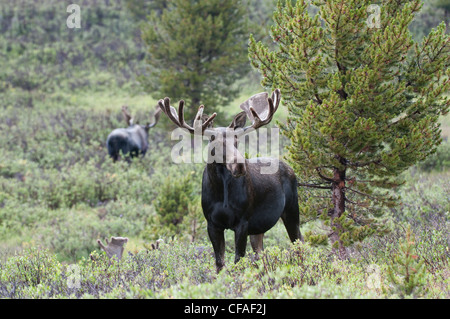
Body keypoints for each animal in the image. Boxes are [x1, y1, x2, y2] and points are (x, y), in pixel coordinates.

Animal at [158, 89, 302, 272]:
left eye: (236, 141)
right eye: (215, 142)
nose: (239, 165)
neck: (221, 193)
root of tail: (290, 168)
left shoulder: (242, 222)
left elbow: (238, 260)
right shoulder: (212, 224)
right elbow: (220, 263)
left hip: (292, 211)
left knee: (299, 244)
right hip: (259, 228)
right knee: (260, 254)